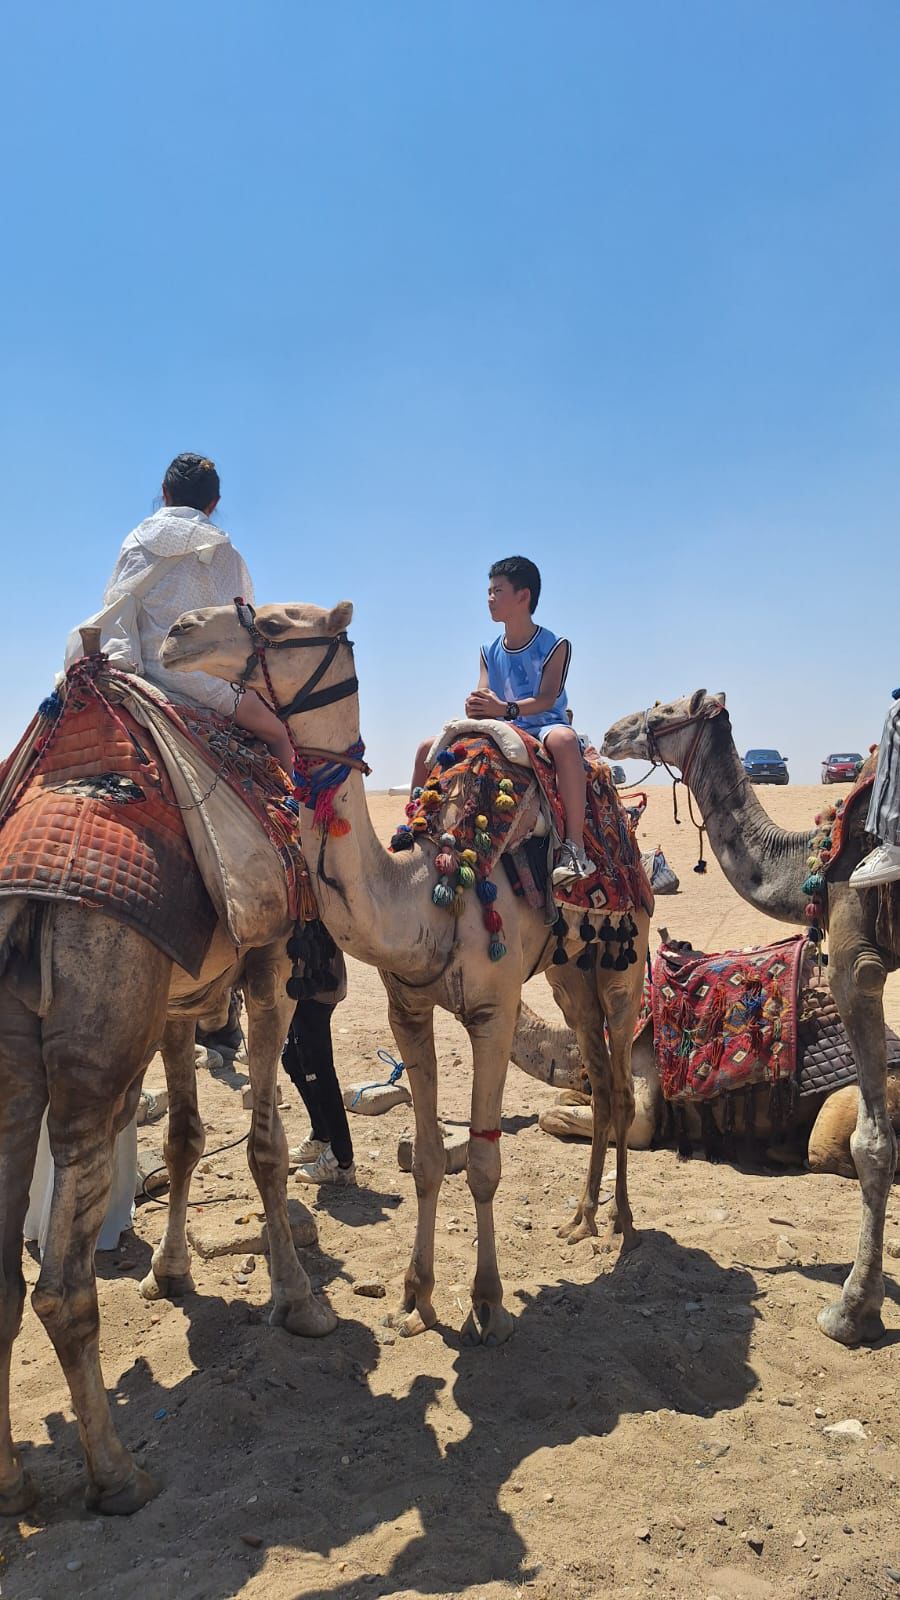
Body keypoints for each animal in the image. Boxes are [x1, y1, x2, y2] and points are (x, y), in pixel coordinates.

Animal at [160, 598, 651, 1352]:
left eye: (275, 623)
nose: (178, 630)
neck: (429, 886)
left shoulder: (493, 1013)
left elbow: (484, 1165)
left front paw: (488, 1305)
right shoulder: (408, 1009)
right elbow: (424, 1159)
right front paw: (414, 1297)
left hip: (626, 963)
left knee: (621, 1086)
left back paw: (621, 1223)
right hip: (570, 975)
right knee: (597, 1078)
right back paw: (582, 1217)